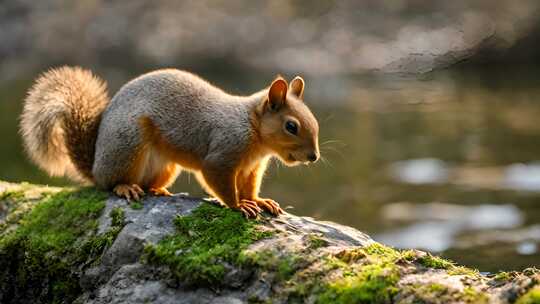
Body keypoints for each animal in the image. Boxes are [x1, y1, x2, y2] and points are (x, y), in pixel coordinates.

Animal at [19, 67, 318, 217]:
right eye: (291, 126)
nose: (313, 157)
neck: (253, 129)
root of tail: (95, 168)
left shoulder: (252, 168)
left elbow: (248, 187)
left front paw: (260, 201)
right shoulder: (222, 154)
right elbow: (221, 182)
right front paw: (239, 206)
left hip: (166, 166)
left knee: (148, 183)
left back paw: (157, 191)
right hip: (127, 145)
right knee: (110, 183)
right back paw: (125, 188)